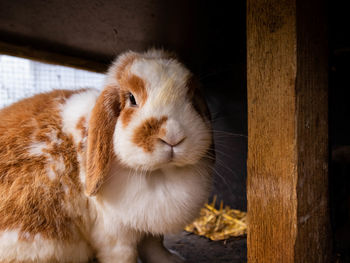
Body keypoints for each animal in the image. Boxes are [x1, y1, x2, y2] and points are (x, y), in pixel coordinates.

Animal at [0, 50, 213, 263]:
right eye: (132, 98)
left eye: (191, 97)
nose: (172, 136)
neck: (159, 173)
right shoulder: (114, 234)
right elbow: (124, 255)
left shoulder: (148, 229)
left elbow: (155, 245)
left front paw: (170, 259)